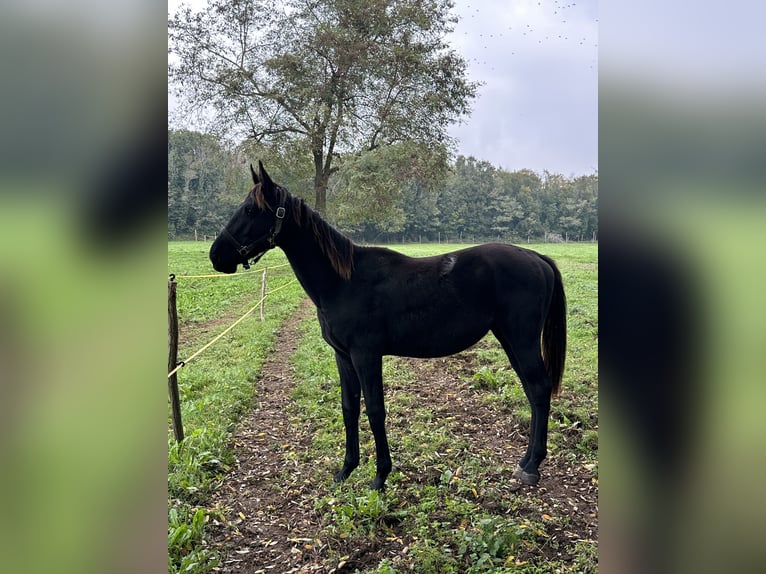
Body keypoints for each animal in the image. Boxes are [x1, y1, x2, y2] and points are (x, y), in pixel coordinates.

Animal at [213, 162, 568, 490]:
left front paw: (380, 476)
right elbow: (349, 408)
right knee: (533, 391)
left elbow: (374, 410)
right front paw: (346, 470)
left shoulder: (366, 355)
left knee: (539, 389)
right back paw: (525, 462)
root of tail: (537, 257)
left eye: (250, 209)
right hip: (510, 339)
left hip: (521, 340)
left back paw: (532, 466)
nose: (216, 256)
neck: (344, 281)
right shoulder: (343, 356)